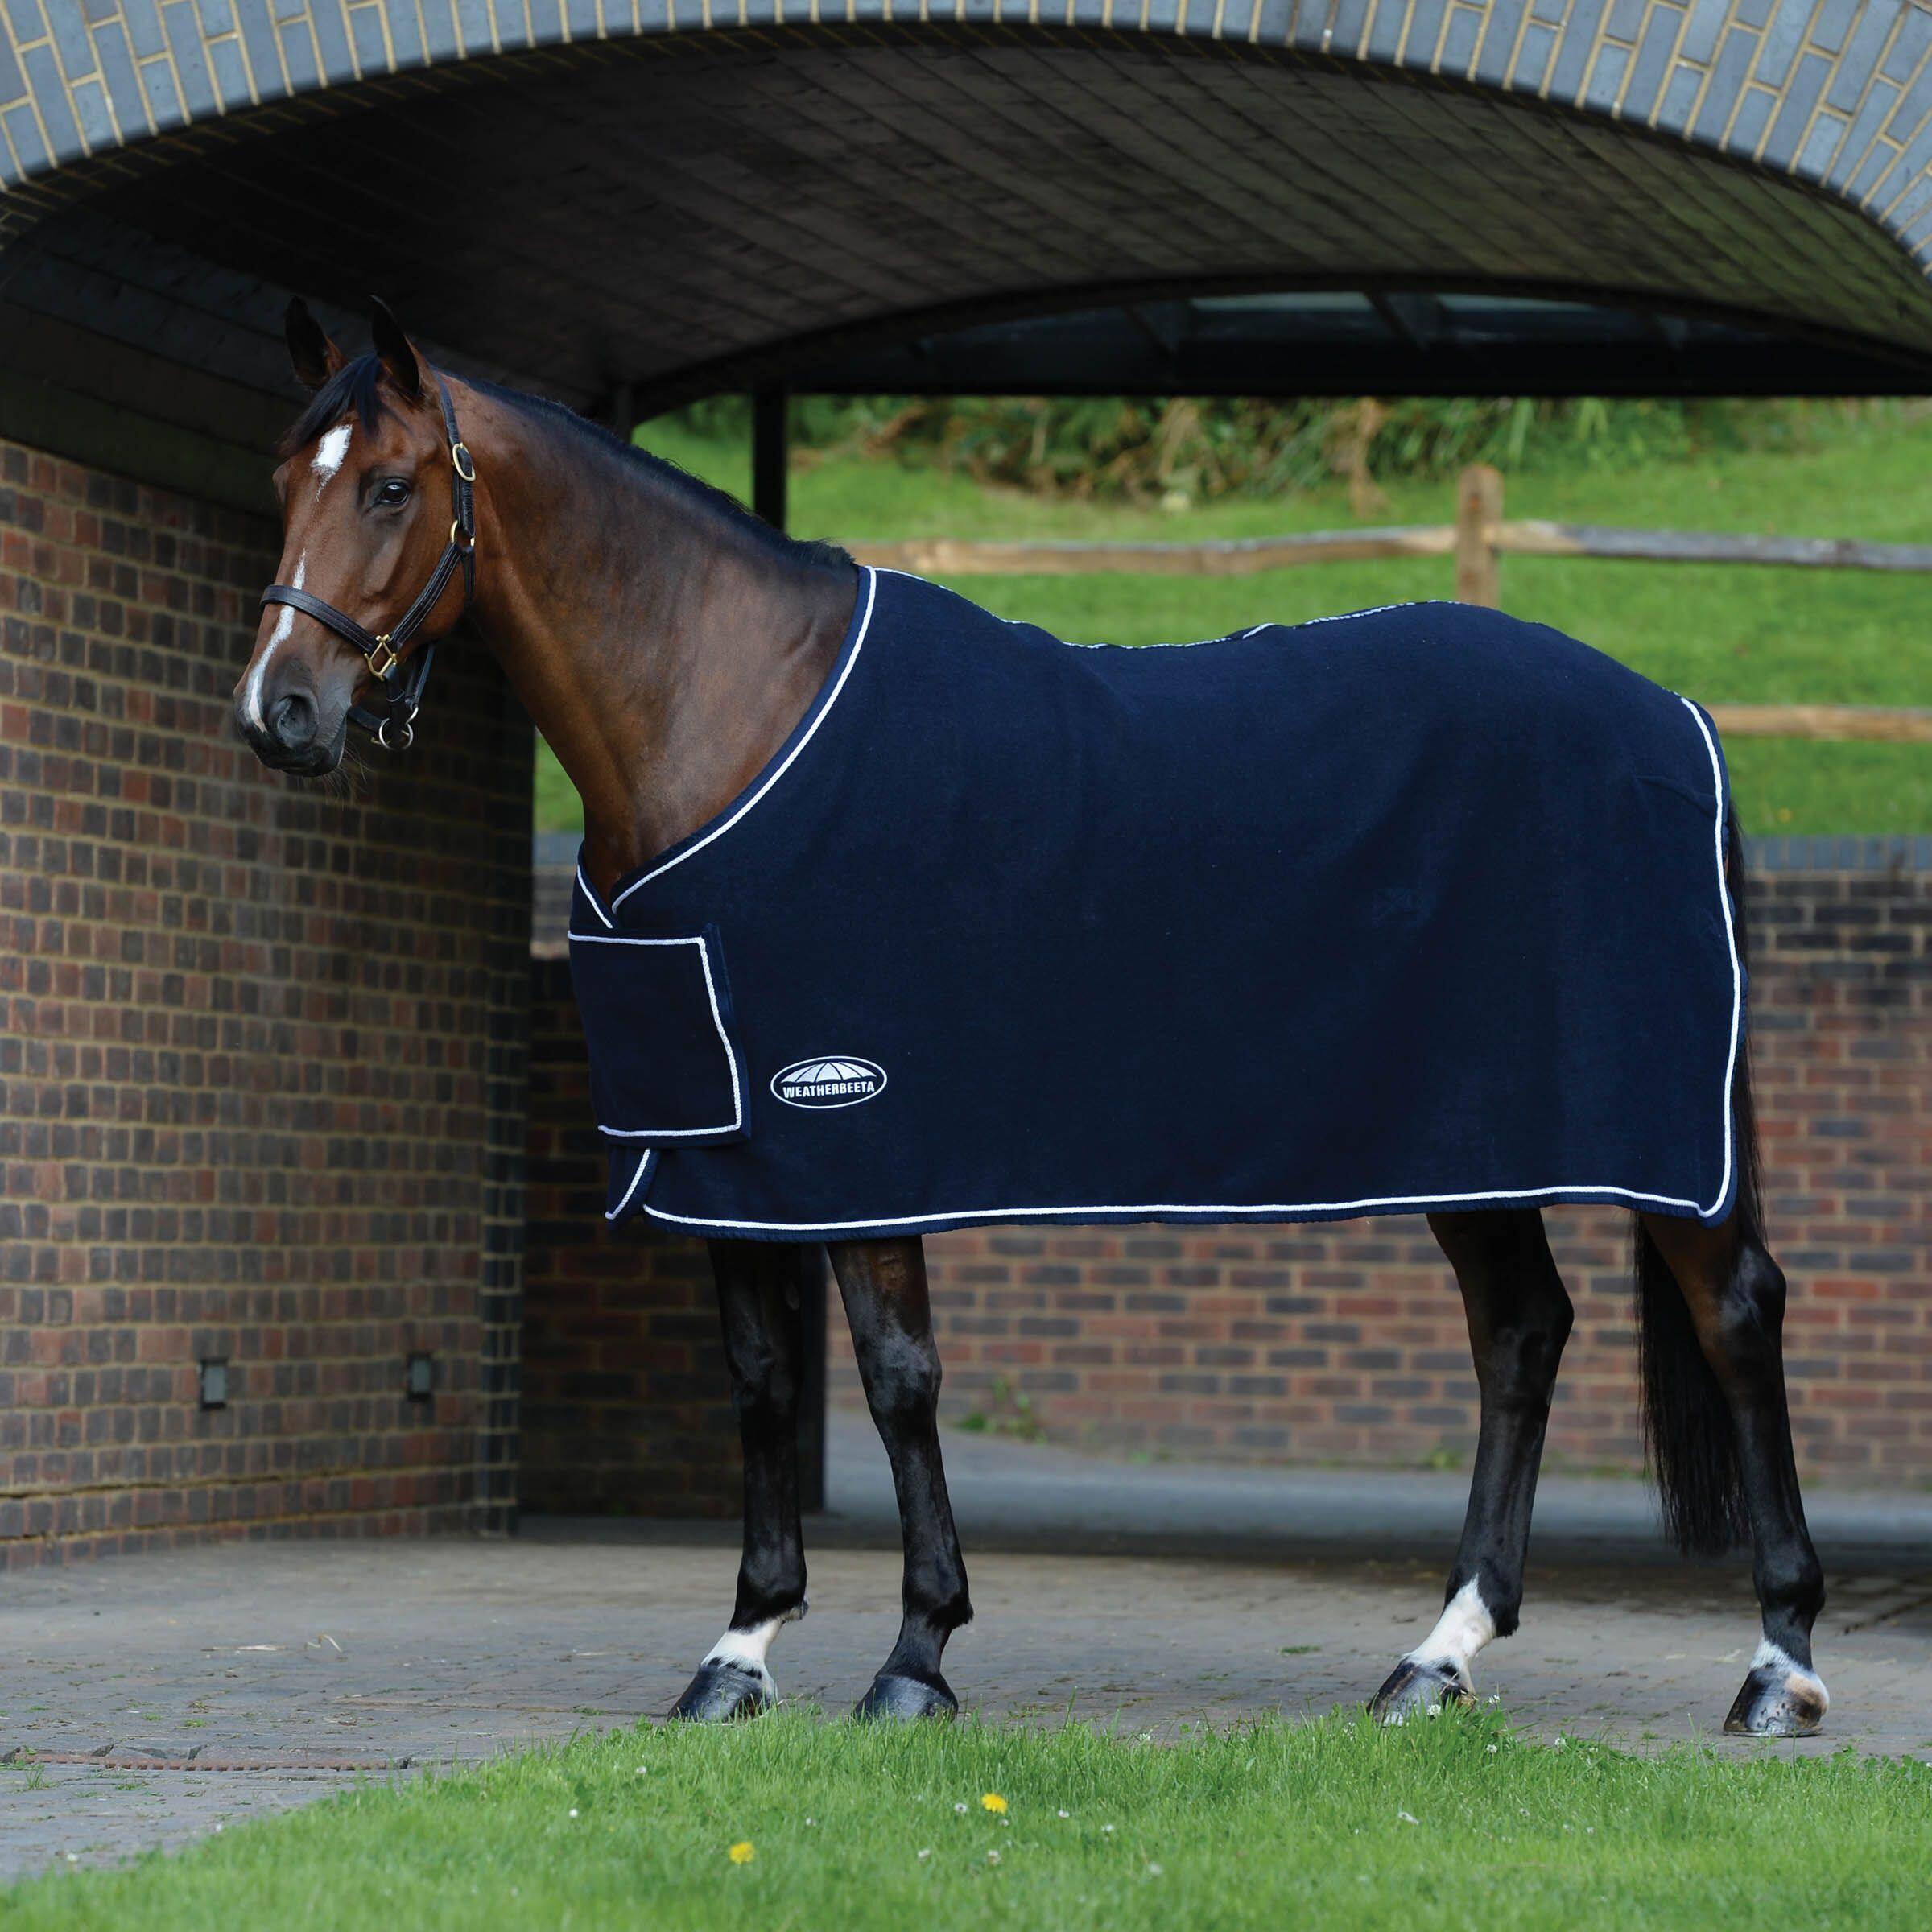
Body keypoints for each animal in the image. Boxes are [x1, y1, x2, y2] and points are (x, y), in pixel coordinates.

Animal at [232, 300, 1828, 1739]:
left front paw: (915, 1658)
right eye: (284, 480)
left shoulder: (858, 1134)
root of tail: (1675, 716)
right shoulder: (727, 1152)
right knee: (1521, 1334)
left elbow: (896, 1380)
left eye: (390, 487)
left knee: (1736, 1315)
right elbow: (760, 1383)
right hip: (1469, 1140)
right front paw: (740, 1651)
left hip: (1645, 1143)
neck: (727, 711)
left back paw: (1778, 1666)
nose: (278, 712)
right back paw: (1438, 1657)